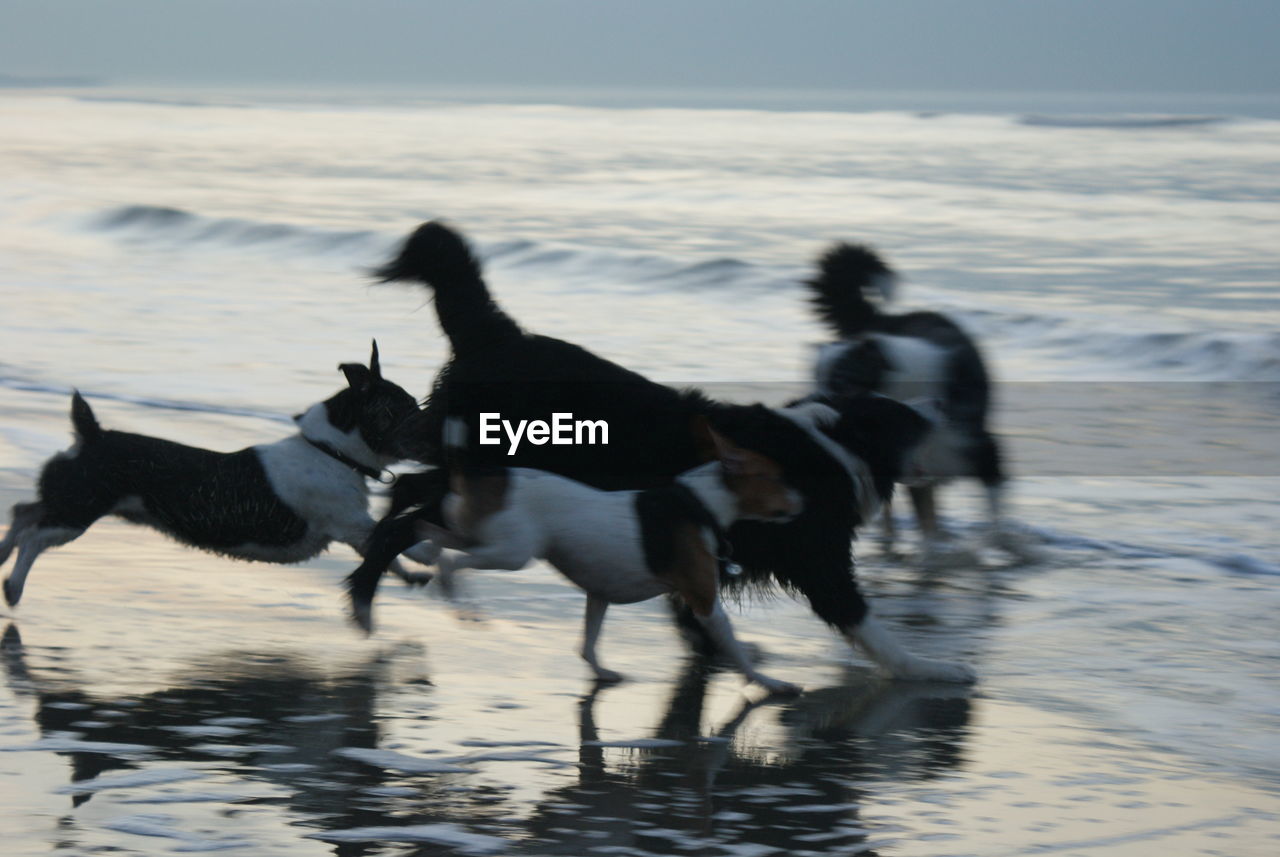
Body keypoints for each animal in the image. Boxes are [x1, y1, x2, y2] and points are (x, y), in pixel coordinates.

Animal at [0, 342, 435, 611]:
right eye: (406, 407)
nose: (441, 424)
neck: (332, 451)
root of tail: (91, 435)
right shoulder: (351, 524)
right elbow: (392, 538)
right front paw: (424, 554)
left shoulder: (355, 533)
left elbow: (386, 557)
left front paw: (413, 575)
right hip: (77, 513)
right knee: (34, 537)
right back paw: (14, 586)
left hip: (66, 500)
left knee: (24, 511)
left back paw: (3, 553)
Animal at [345, 223, 972, 685]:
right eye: (911, 419)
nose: (945, 400)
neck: (832, 444)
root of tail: (498, 336)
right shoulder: (818, 561)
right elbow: (868, 624)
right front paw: (932, 669)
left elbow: (695, 609)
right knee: (410, 509)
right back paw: (369, 593)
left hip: (479, 474)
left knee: (410, 495)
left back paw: (385, 574)